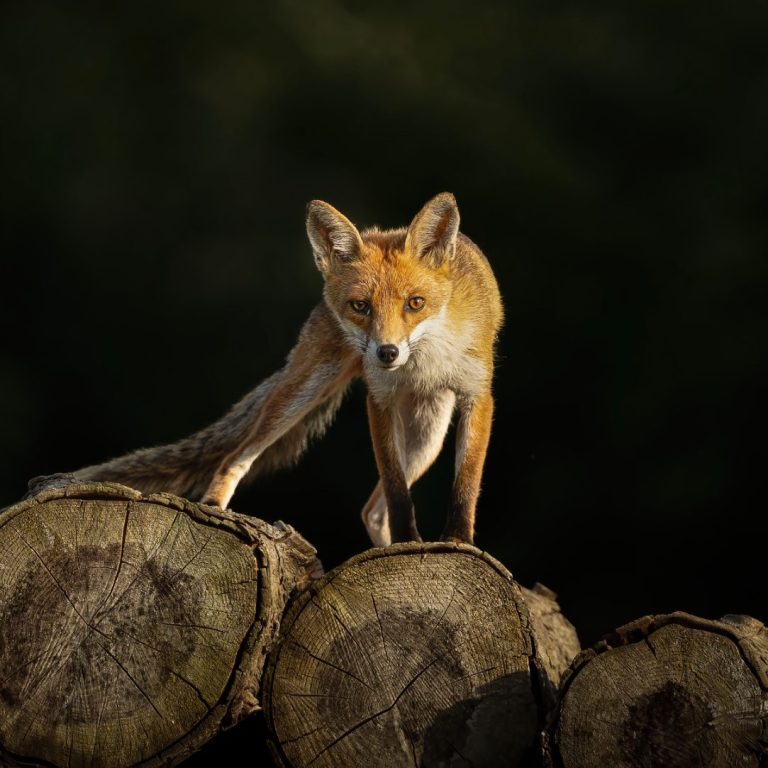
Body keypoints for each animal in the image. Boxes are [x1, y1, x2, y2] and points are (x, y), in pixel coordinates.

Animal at [68, 193, 503, 546]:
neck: (424, 362)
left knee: (372, 511)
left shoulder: (477, 395)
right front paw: (413, 541)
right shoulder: (379, 399)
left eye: (415, 303)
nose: (387, 353)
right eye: (361, 306)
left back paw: (393, 549)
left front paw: (457, 542)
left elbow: (466, 482)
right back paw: (215, 508)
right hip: (304, 392)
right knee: (236, 457)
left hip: (427, 435)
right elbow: (398, 492)